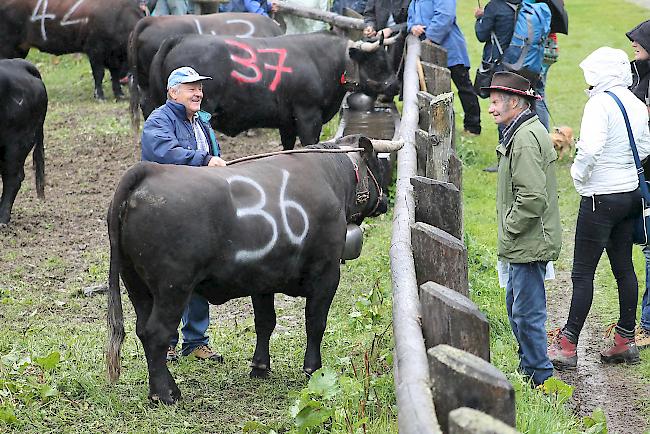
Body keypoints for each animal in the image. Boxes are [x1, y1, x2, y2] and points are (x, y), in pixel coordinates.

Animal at [0, 0, 143, 99]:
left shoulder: (113, 55)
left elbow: (114, 75)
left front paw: (119, 94)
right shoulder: (95, 50)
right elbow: (99, 74)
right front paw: (99, 95)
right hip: (7, 45)